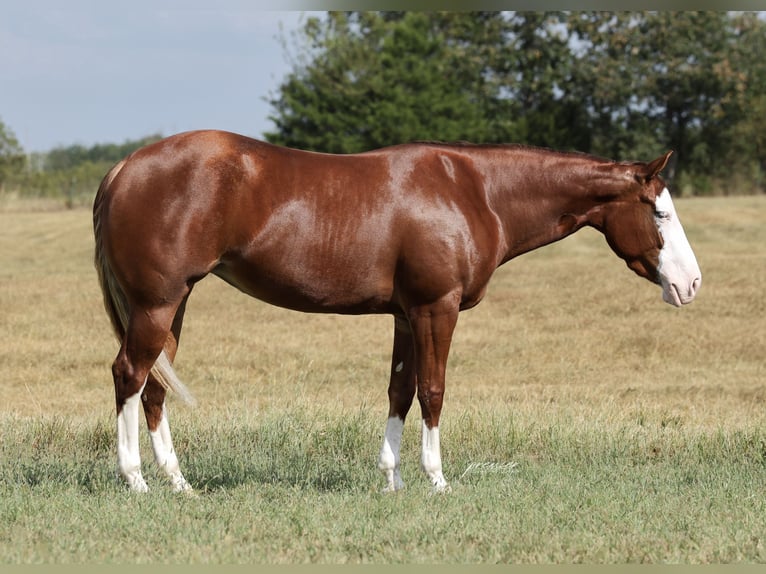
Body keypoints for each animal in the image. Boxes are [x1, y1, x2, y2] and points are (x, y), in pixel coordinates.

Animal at [92, 130, 701, 493]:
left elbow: (400, 391)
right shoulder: (437, 308)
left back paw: (178, 483)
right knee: (128, 375)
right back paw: (135, 480)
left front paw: (393, 481)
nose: (690, 283)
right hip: (156, 305)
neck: (474, 192)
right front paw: (436, 480)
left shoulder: (407, 315)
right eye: (660, 213)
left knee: (154, 387)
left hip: (172, 306)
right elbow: (432, 390)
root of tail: (123, 167)